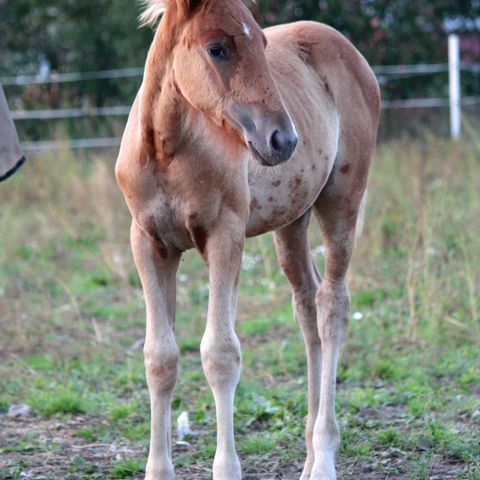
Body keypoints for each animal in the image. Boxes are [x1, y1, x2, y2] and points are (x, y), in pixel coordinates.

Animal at [115, 0, 378, 480]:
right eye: (217, 48)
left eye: (262, 42)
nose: (284, 139)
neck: (167, 149)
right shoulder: (149, 242)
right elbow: (160, 357)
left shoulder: (225, 235)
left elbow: (220, 353)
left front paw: (226, 468)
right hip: (292, 219)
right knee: (307, 305)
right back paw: (308, 460)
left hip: (342, 204)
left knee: (333, 305)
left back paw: (324, 458)